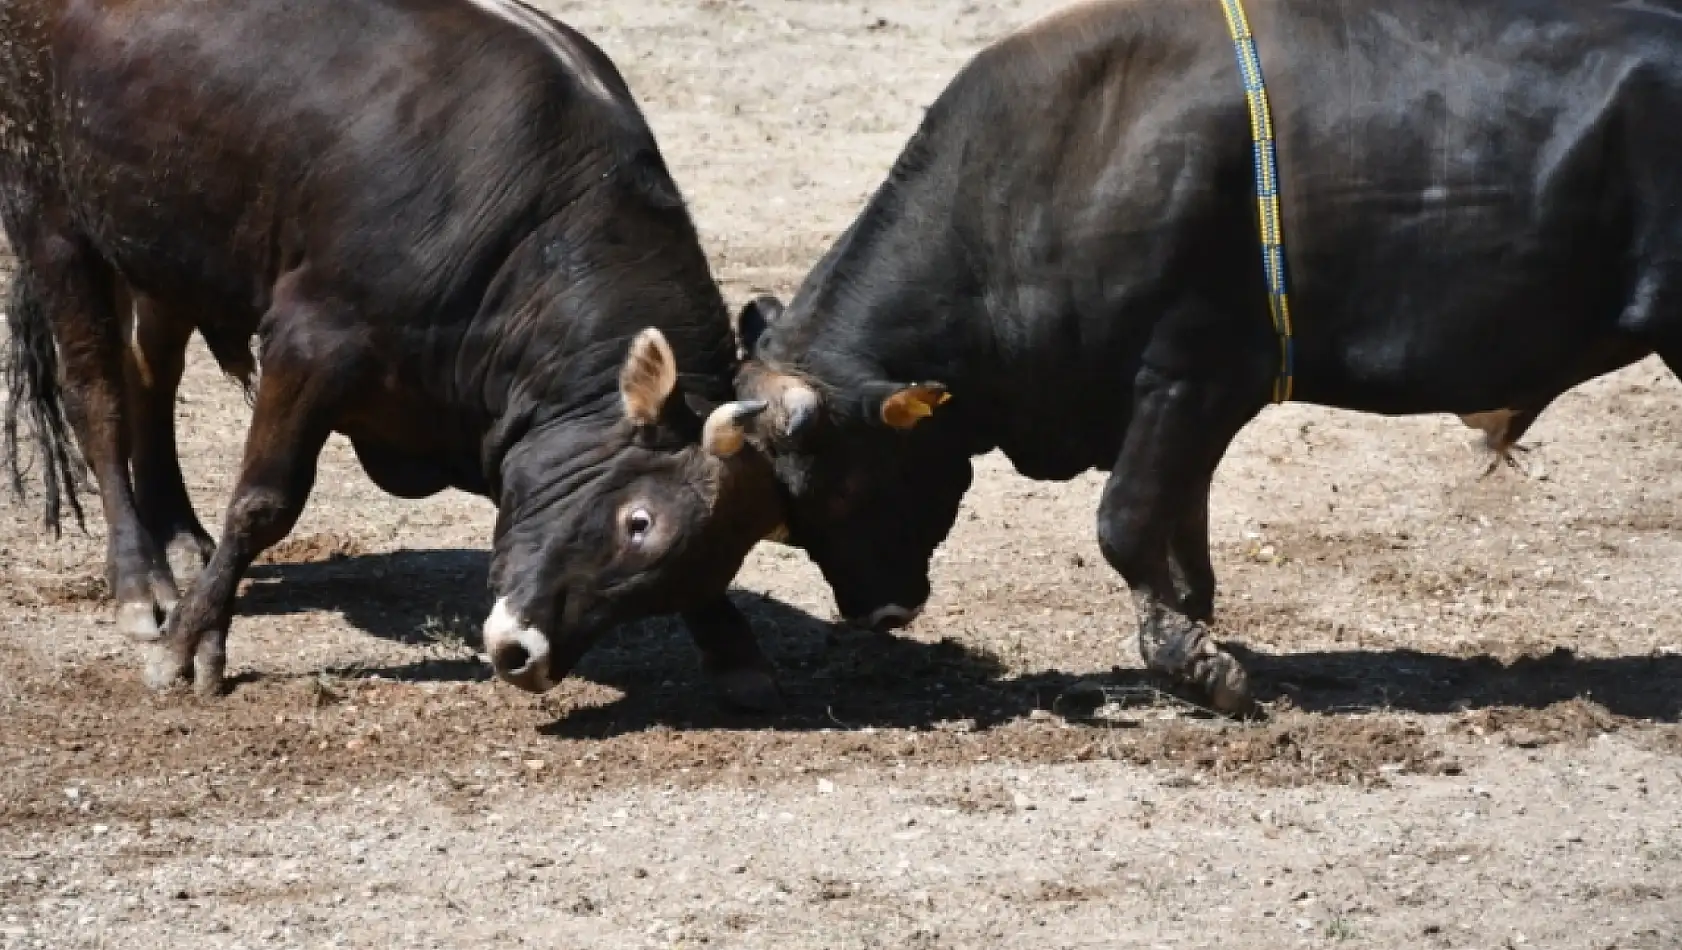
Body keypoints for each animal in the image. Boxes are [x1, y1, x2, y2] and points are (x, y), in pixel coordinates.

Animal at [743, 0, 1682, 712]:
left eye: (843, 483)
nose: (876, 612)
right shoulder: (1191, 404)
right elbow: (1181, 534)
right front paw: (1190, 643)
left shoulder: (1189, 375)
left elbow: (1126, 523)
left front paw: (1198, 668)